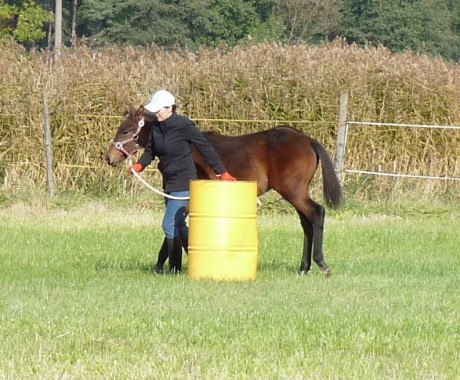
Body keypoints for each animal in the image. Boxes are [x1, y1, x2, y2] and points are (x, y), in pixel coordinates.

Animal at [105, 105, 342, 274]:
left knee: (317, 214)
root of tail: (308, 140)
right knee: (307, 224)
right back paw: (304, 267)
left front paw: (163, 266)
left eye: (125, 130)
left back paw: (321, 264)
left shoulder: (185, 200)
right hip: (296, 193)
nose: (109, 158)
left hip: (294, 192)